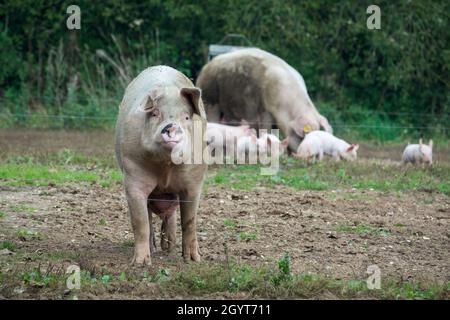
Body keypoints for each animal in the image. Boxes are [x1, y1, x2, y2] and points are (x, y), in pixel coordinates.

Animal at [115, 65, 208, 264]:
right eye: (155, 114)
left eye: (186, 117)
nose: (171, 126)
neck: (166, 166)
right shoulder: (133, 176)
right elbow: (140, 222)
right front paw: (141, 263)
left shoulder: (194, 182)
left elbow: (189, 220)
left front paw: (193, 260)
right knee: (151, 218)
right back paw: (156, 249)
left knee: (171, 216)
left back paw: (169, 249)